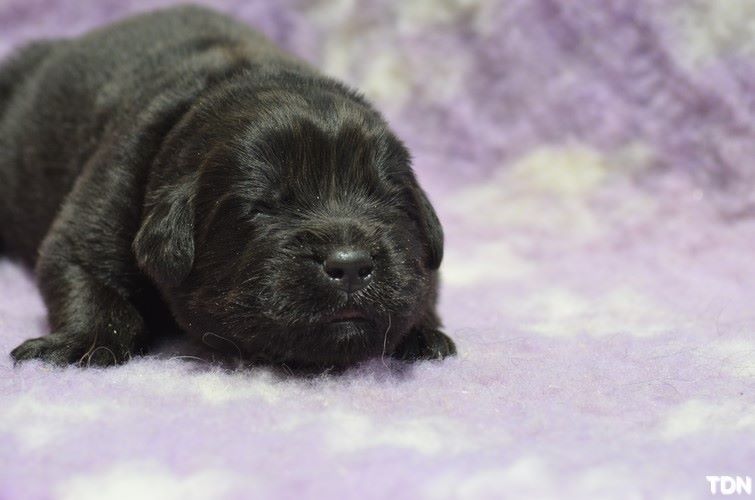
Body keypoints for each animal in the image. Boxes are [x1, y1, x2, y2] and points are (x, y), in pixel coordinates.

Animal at [0, 5, 456, 369]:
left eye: (386, 200)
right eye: (263, 206)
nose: (350, 265)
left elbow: (423, 279)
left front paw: (422, 332)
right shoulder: (101, 208)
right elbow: (84, 277)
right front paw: (83, 343)